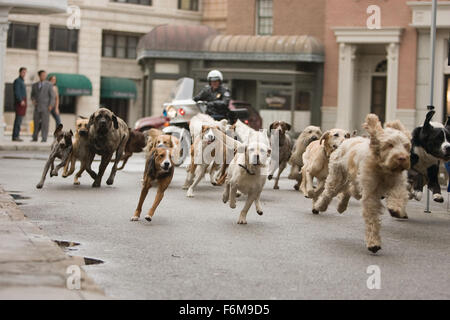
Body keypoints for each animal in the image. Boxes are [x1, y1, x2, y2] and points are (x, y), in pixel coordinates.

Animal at [312, 114, 412, 254]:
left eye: (406, 146)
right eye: (390, 145)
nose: (402, 158)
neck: (383, 169)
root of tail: (345, 141)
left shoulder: (397, 183)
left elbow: (398, 195)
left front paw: (396, 209)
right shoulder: (370, 194)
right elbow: (372, 217)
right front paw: (373, 243)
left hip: (354, 183)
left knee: (348, 190)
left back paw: (341, 206)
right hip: (338, 178)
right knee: (329, 192)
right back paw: (320, 206)